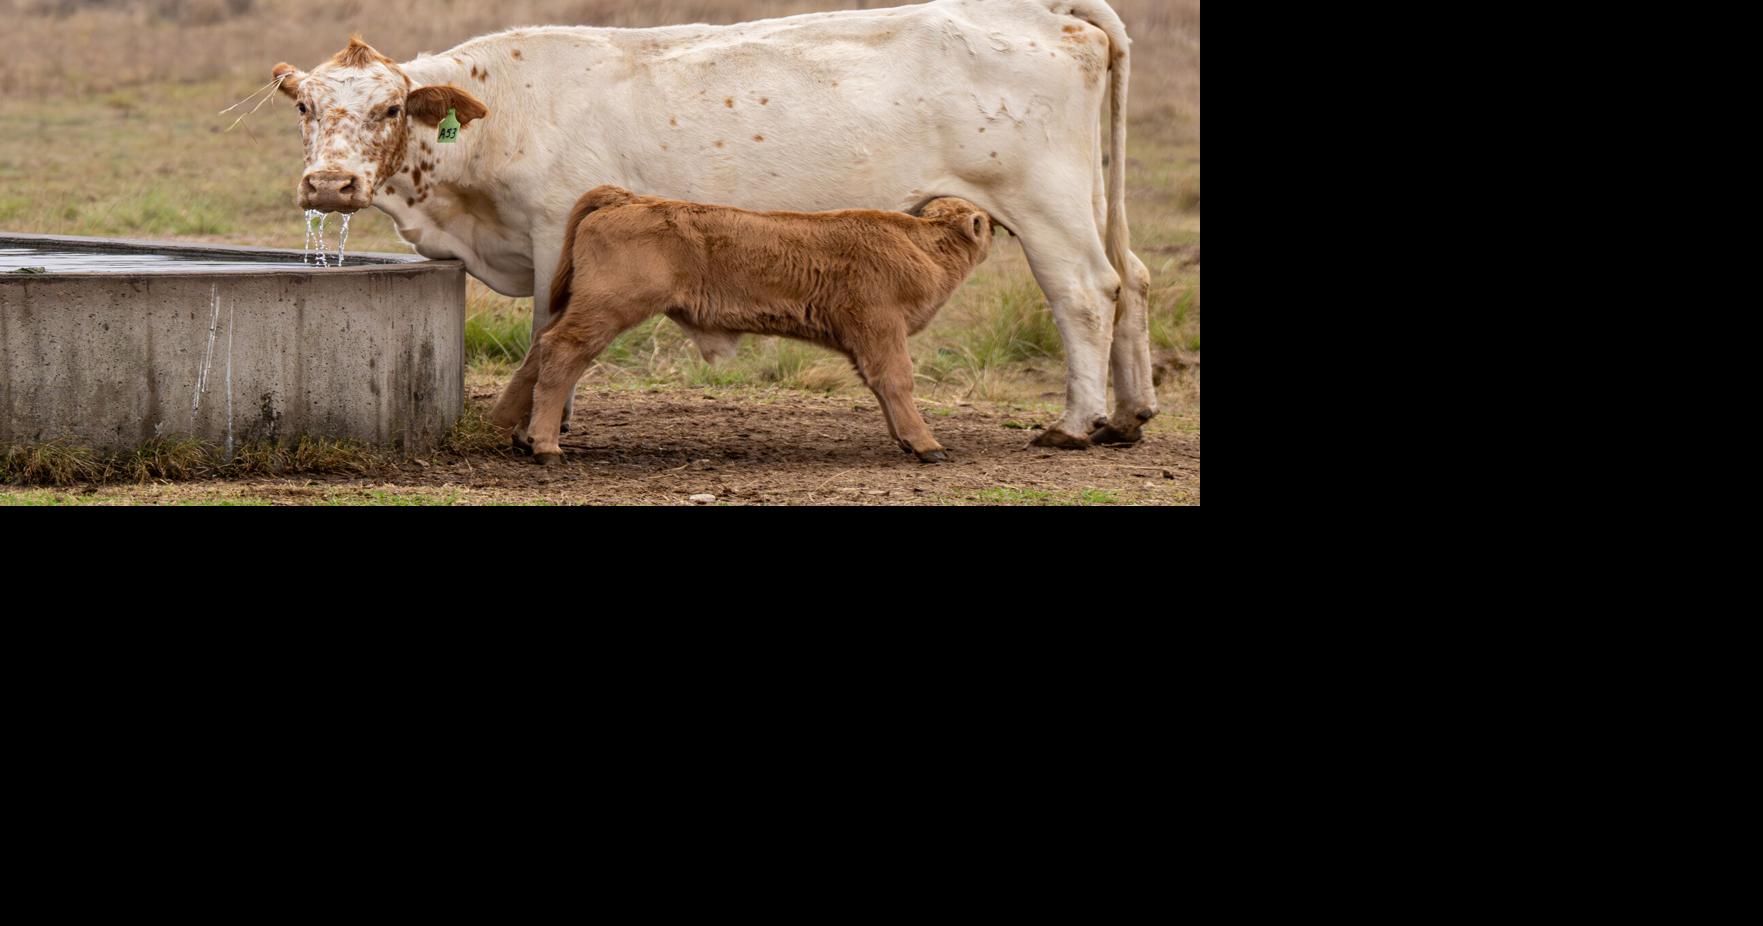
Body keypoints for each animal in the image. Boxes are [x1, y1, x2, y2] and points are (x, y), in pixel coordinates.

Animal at [492, 186, 996, 465]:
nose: (991, 225)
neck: (922, 243)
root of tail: (628, 199)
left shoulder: (869, 340)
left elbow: (880, 386)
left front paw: (905, 440)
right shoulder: (881, 328)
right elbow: (896, 381)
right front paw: (927, 445)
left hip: (582, 309)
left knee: (539, 351)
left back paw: (508, 429)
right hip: (606, 311)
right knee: (561, 354)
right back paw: (545, 447)